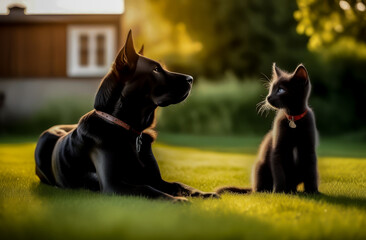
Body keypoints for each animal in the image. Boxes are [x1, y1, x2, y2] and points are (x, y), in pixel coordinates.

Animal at [35, 30, 217, 202]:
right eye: (156, 69)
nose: (190, 79)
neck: (128, 130)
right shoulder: (114, 185)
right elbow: (147, 188)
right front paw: (177, 200)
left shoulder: (156, 179)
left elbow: (179, 184)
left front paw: (205, 193)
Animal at [219, 64, 318, 195]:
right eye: (271, 88)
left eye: (281, 90)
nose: (268, 97)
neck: (293, 118)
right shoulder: (277, 150)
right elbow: (279, 173)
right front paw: (279, 192)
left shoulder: (309, 149)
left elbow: (311, 172)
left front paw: (313, 191)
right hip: (260, 166)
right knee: (259, 188)